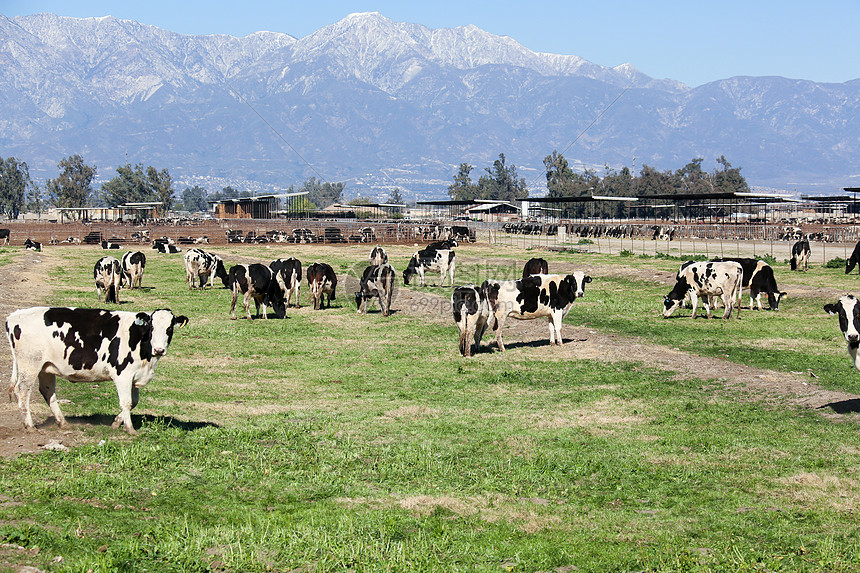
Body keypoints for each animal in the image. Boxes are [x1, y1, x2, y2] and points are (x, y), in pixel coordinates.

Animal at [5, 306, 188, 432]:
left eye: (169, 328)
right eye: (151, 328)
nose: (159, 350)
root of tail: (14, 316)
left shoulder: (134, 376)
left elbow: (134, 402)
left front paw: (117, 421)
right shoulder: (122, 374)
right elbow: (127, 402)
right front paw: (129, 429)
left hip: (45, 367)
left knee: (47, 391)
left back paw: (62, 422)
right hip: (29, 365)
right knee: (22, 391)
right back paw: (29, 425)